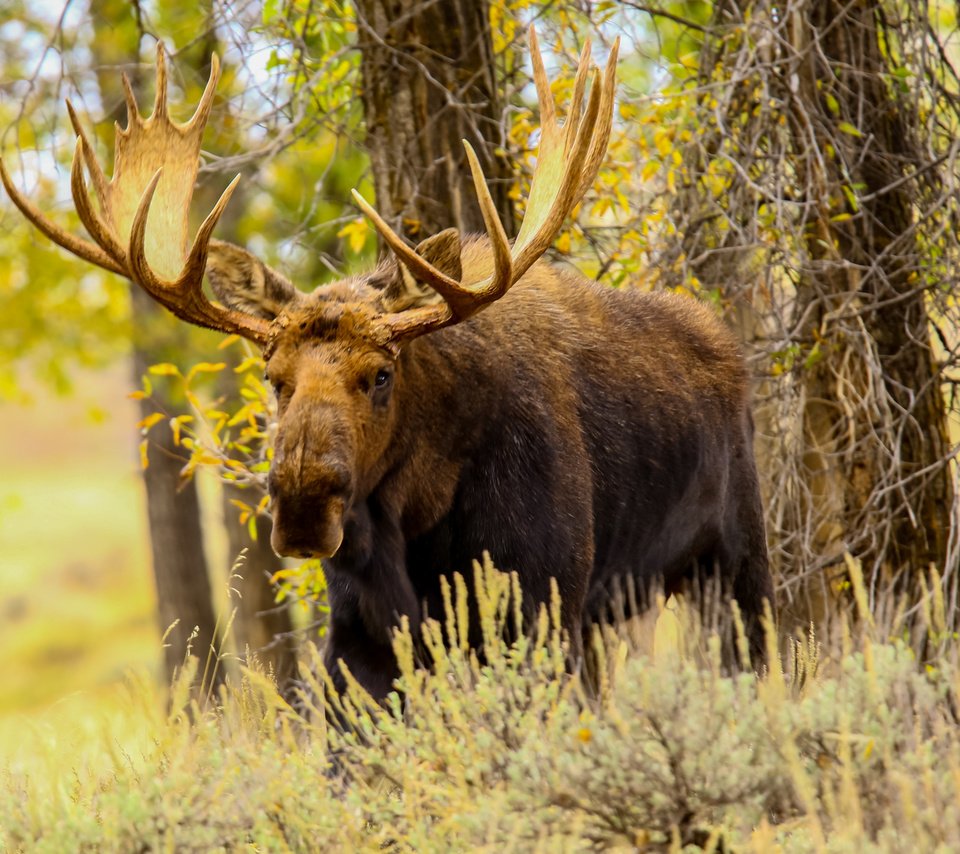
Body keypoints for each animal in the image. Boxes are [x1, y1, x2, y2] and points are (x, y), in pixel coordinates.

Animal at [1, 28, 772, 704]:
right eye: (273, 379)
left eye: (380, 374)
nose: (303, 504)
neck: (414, 525)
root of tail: (727, 341)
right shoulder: (359, 633)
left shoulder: (544, 600)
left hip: (733, 559)